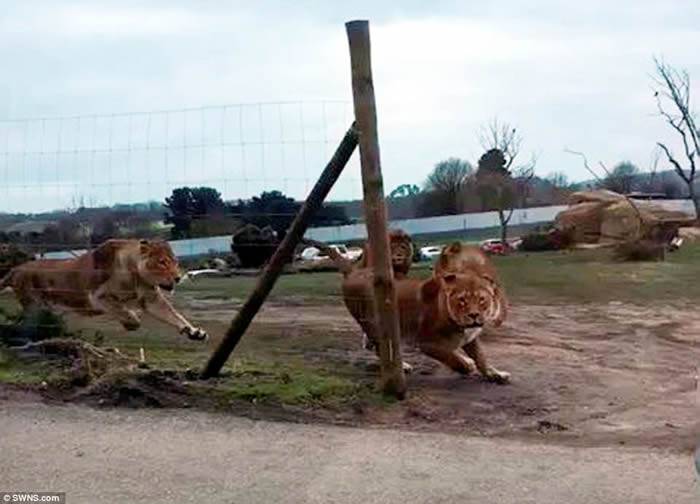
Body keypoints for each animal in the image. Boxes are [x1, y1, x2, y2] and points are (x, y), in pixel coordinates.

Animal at [0, 238, 208, 340]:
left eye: (175, 261)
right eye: (162, 262)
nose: (178, 277)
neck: (137, 276)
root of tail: (17, 268)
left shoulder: (152, 299)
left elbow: (174, 316)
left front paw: (193, 332)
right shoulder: (97, 296)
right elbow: (122, 310)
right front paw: (131, 322)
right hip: (33, 305)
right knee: (24, 326)